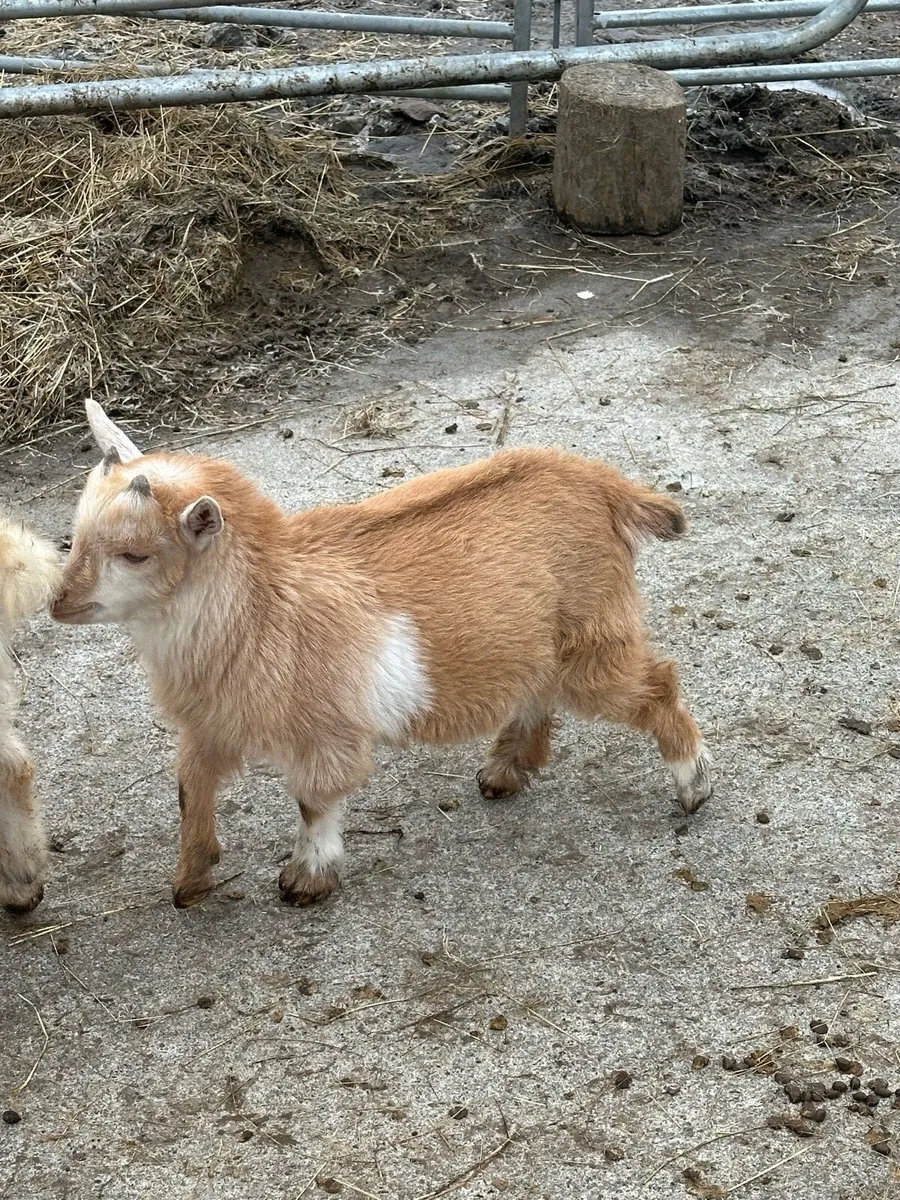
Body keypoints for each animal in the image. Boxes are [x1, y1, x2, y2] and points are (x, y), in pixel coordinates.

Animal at [52, 400, 711, 909]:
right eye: (76, 535)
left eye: (134, 554)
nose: (59, 603)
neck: (265, 604)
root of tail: (602, 484)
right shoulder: (211, 723)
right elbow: (190, 790)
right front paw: (190, 880)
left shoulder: (324, 732)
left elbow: (315, 801)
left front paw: (306, 881)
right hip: (542, 641)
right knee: (537, 691)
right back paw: (504, 771)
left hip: (593, 640)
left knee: (657, 683)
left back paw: (693, 786)